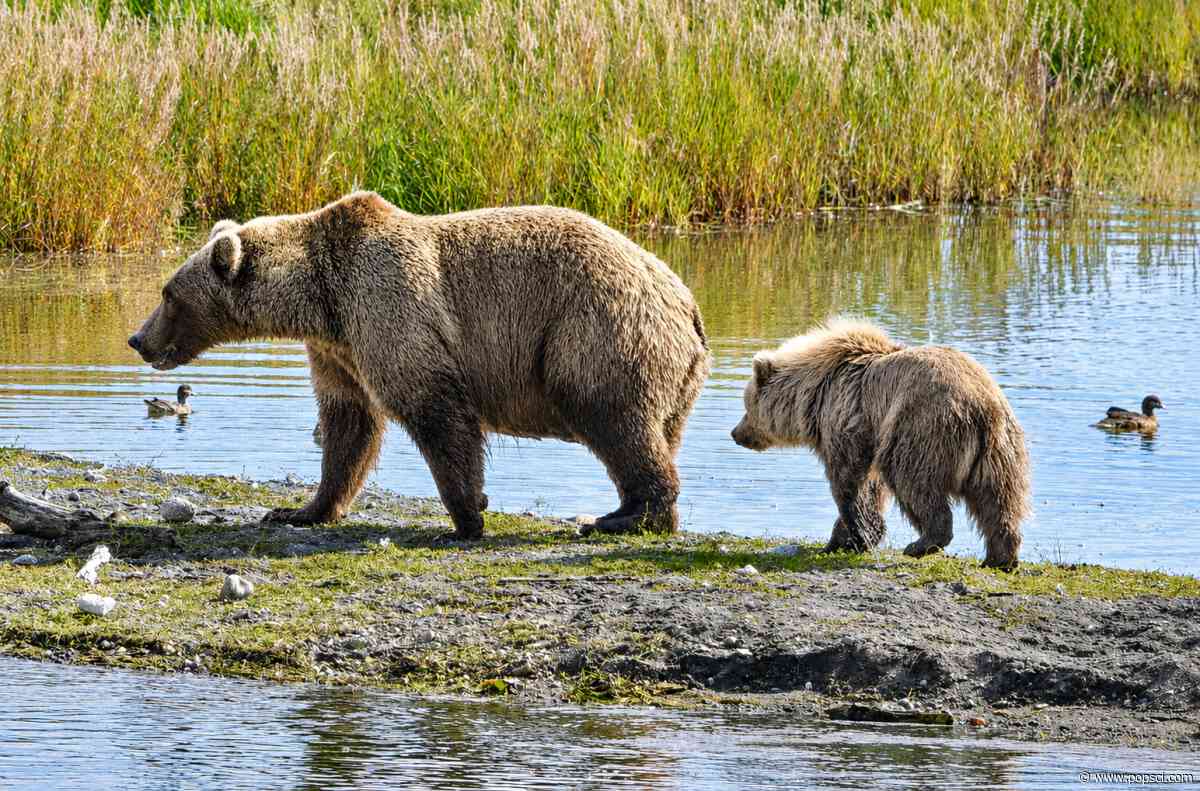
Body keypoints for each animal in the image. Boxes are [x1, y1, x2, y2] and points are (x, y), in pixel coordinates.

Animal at [128, 192, 710, 540]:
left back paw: (624, 517)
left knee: (612, 417)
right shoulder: (338, 349)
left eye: (169, 294)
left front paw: (467, 515)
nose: (137, 339)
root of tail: (687, 302)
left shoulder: (391, 305)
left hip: (597, 330)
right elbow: (349, 427)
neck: (320, 299)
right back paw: (637, 513)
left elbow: (434, 409)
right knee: (651, 431)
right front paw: (302, 509)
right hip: (669, 372)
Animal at [730, 317, 1030, 570]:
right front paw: (841, 540)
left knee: (914, 482)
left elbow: (851, 483)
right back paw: (1000, 558)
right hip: (999, 449)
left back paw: (922, 543)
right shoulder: (871, 433)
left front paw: (857, 537)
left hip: (923, 428)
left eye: (747, 405)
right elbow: (872, 488)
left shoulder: (850, 419)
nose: (735, 433)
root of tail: (981, 406)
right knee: (999, 499)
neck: (817, 394)